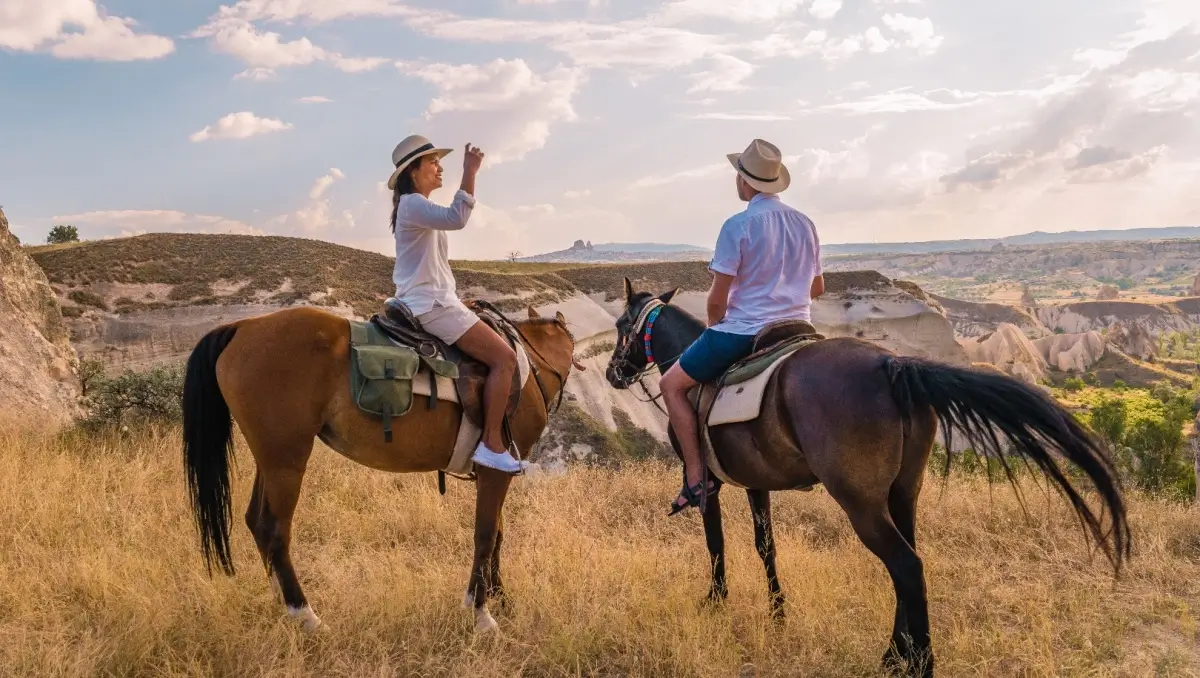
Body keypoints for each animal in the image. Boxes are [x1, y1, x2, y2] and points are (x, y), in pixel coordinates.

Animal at [177, 303, 580, 633]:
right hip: (287, 461)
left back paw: (283, 606)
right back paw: (305, 615)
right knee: (272, 529)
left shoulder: (493, 476)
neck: (527, 368)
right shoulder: (496, 472)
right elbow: (484, 535)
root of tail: (242, 326)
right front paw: (481, 613)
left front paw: (499, 598)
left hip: (272, 458)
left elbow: (497, 533)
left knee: (255, 523)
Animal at [604, 277, 1128, 672]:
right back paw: (898, 654)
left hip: (861, 503)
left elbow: (716, 543)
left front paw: (716, 602)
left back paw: (915, 662)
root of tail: (892, 362)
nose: (612, 374)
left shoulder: (706, 482)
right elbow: (765, 546)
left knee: (906, 565)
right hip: (903, 492)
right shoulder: (756, 482)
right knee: (911, 563)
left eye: (619, 325)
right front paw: (777, 613)